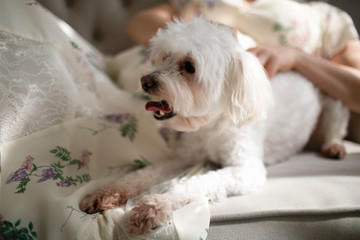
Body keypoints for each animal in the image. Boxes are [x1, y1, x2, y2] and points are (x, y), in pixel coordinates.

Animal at [79, 17, 348, 233]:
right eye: (165, 56)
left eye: (189, 67)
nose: (146, 81)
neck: (211, 124)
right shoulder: (183, 158)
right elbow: (143, 174)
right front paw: (106, 193)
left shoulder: (246, 169)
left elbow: (194, 182)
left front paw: (155, 205)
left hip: (334, 101)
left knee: (335, 128)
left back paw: (334, 147)